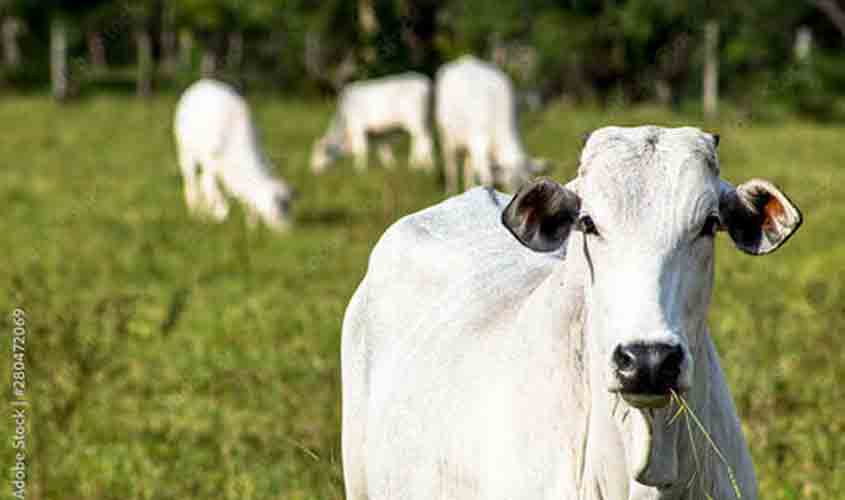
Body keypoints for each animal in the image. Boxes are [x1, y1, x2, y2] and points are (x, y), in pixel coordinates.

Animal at [171, 79, 294, 231]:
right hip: (186, 152)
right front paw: (218, 215)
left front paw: (251, 226)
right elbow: (209, 188)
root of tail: (202, 83)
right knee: (191, 182)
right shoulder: (212, 166)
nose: (289, 231)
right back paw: (196, 213)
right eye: (278, 210)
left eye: (289, 207)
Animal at [436, 55, 548, 193]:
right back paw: (451, 190)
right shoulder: (479, 146)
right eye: (509, 184)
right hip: (447, 137)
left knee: (467, 167)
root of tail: (465, 59)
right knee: (450, 165)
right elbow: (487, 178)